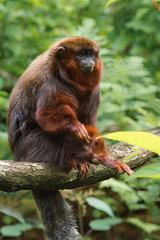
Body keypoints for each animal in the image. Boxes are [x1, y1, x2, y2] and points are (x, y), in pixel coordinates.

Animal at [6, 36, 133, 239]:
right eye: (81, 55)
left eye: (90, 54)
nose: (88, 61)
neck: (63, 75)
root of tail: (17, 156)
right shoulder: (48, 81)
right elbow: (48, 113)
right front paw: (74, 128)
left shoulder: (95, 90)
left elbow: (88, 122)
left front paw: (104, 157)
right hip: (29, 148)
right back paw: (81, 157)